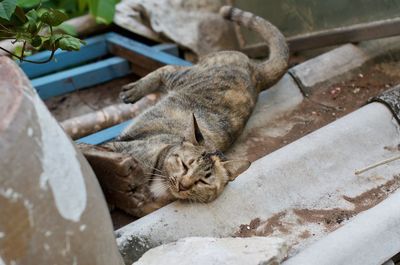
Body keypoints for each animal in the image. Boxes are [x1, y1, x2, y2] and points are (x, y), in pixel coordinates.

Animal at [80, 5, 288, 217]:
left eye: (202, 181)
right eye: (184, 165)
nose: (183, 185)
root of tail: (256, 72)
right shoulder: (122, 147)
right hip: (184, 75)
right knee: (166, 68)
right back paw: (134, 90)